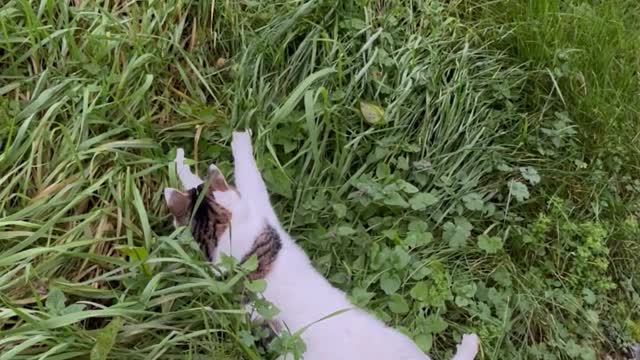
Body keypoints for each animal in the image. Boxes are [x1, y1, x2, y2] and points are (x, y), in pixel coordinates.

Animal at [165, 131, 480, 360]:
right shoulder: (259, 211)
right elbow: (248, 173)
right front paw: (239, 139)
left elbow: (194, 182)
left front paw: (180, 160)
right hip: (403, 344)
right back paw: (470, 343)